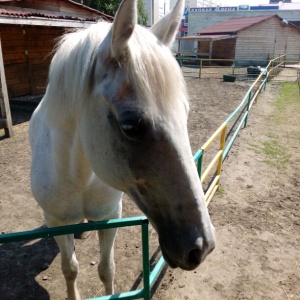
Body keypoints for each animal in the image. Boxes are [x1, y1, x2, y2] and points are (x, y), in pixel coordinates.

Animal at [28, 0, 216, 298]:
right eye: (130, 126)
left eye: (185, 114)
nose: (202, 246)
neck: (80, 177)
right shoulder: (57, 221)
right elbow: (70, 269)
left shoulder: (110, 218)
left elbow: (107, 269)